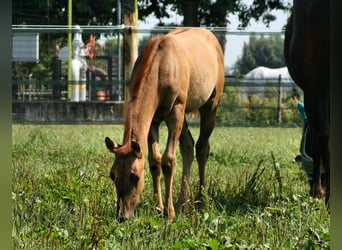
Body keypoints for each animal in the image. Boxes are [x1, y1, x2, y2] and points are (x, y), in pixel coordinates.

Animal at [105, 26, 226, 219]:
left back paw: (201, 201)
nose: (123, 216)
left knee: (202, 148)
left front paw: (169, 213)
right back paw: (183, 203)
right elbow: (155, 161)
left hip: (209, 107)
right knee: (188, 146)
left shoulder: (175, 112)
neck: (161, 65)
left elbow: (168, 161)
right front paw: (159, 207)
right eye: (112, 175)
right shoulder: (153, 120)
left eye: (135, 176)